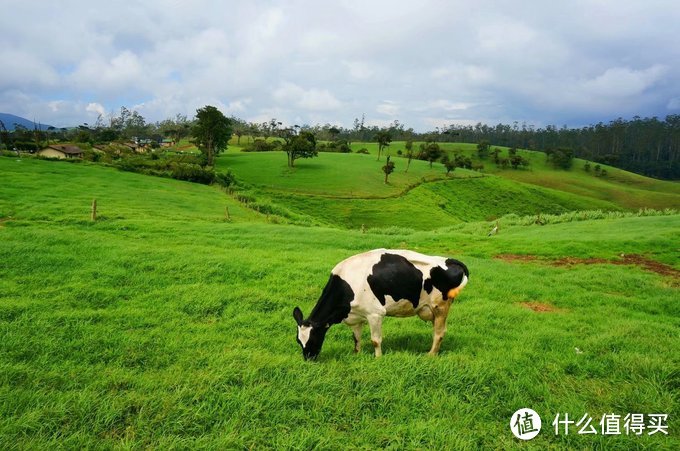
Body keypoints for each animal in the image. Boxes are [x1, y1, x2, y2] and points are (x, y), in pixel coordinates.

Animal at [292, 249, 468, 362]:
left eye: (313, 338)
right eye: (298, 341)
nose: (308, 359)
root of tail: (448, 260)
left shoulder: (375, 314)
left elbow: (375, 340)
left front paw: (378, 358)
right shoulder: (356, 317)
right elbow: (356, 338)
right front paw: (357, 354)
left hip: (440, 307)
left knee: (439, 333)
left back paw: (431, 355)